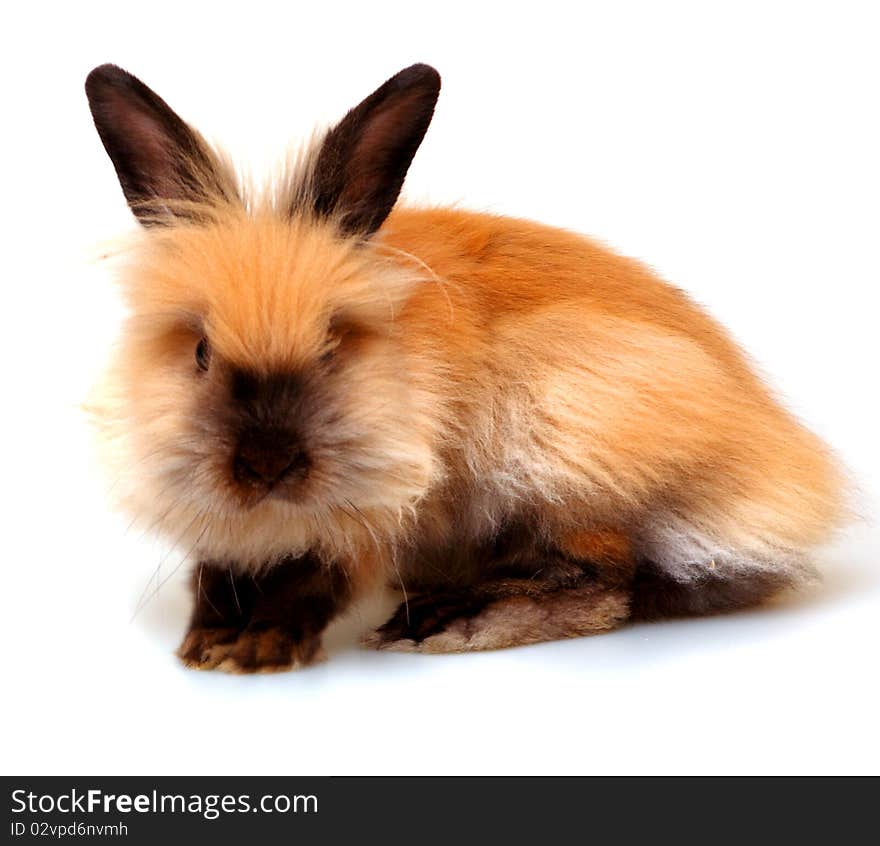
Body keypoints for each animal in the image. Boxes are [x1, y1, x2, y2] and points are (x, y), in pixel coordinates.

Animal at [86, 63, 848, 676]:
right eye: (200, 350)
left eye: (334, 342)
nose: (268, 462)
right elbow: (216, 578)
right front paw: (205, 643)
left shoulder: (378, 514)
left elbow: (316, 580)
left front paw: (256, 650)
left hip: (565, 440)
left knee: (610, 583)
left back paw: (441, 621)